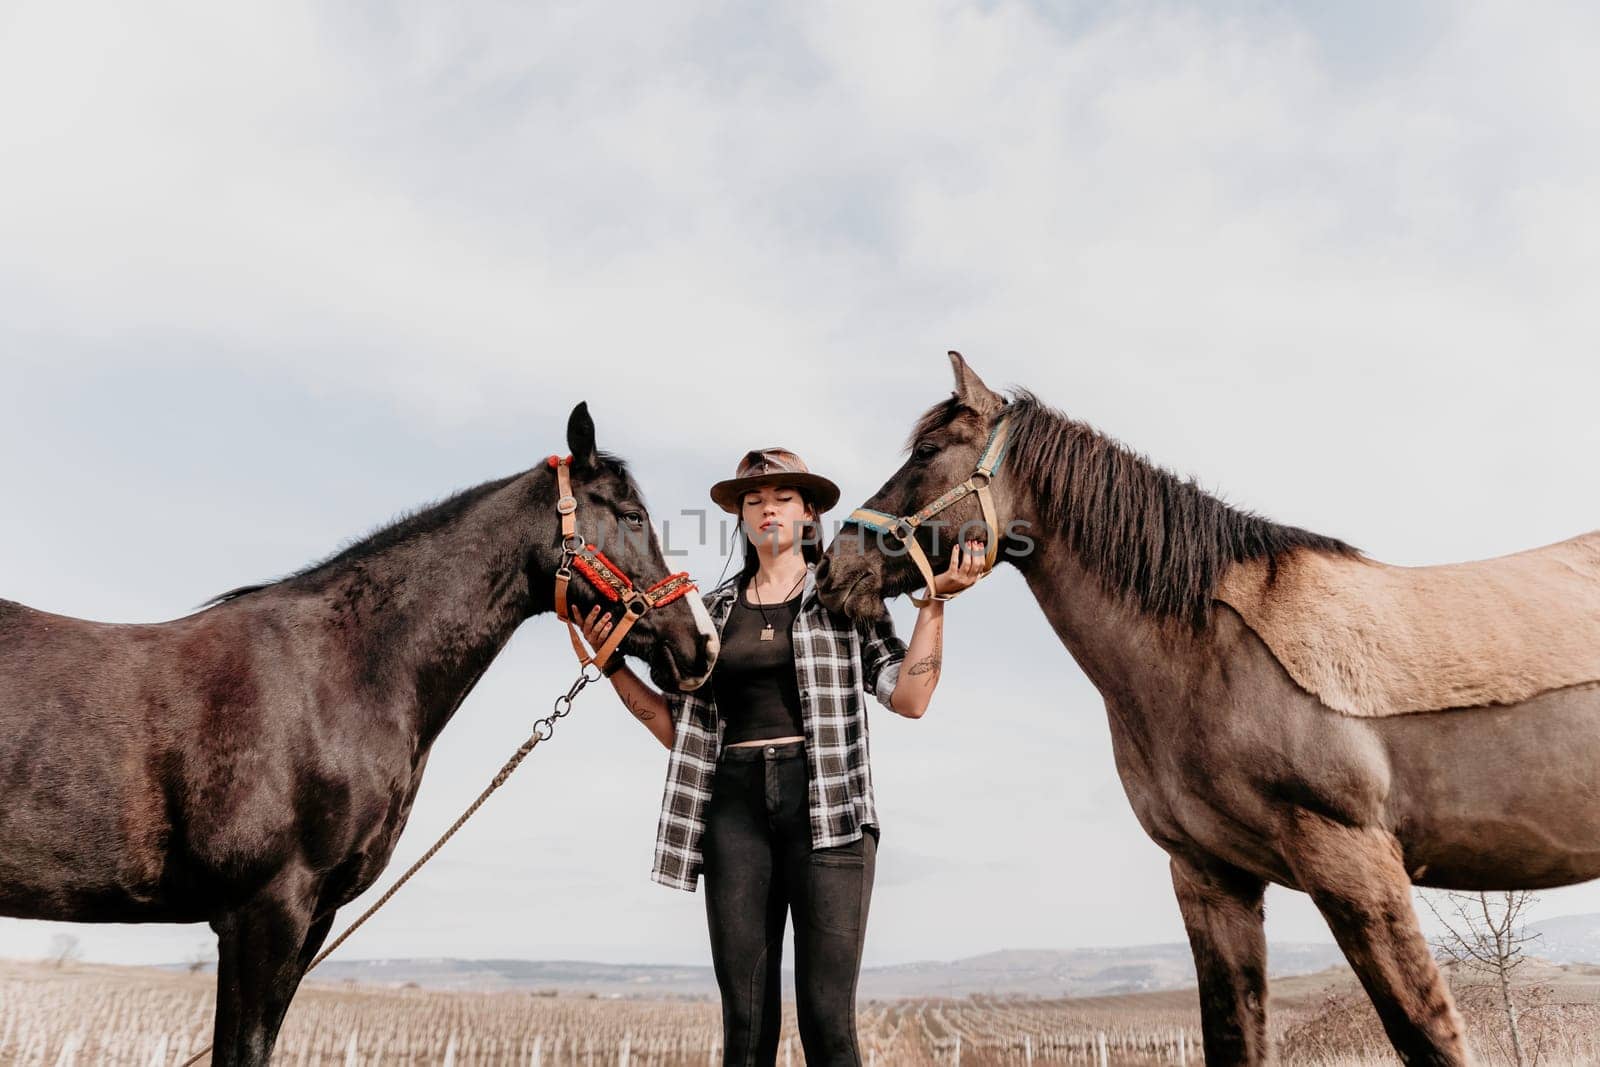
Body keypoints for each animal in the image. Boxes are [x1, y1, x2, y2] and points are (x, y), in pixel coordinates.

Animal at [819, 356, 1600, 1067]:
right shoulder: (1209, 878)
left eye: (926, 452)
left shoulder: (1355, 863)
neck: (1206, 653)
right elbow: (1233, 1036)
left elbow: (1428, 1037)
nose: (833, 569)